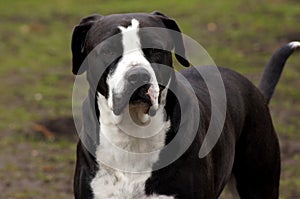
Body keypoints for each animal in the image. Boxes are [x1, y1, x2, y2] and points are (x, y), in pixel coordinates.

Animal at [71, 11, 298, 198]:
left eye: (155, 50)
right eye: (107, 51)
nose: (138, 77)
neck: (134, 132)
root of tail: (256, 90)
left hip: (259, 183)